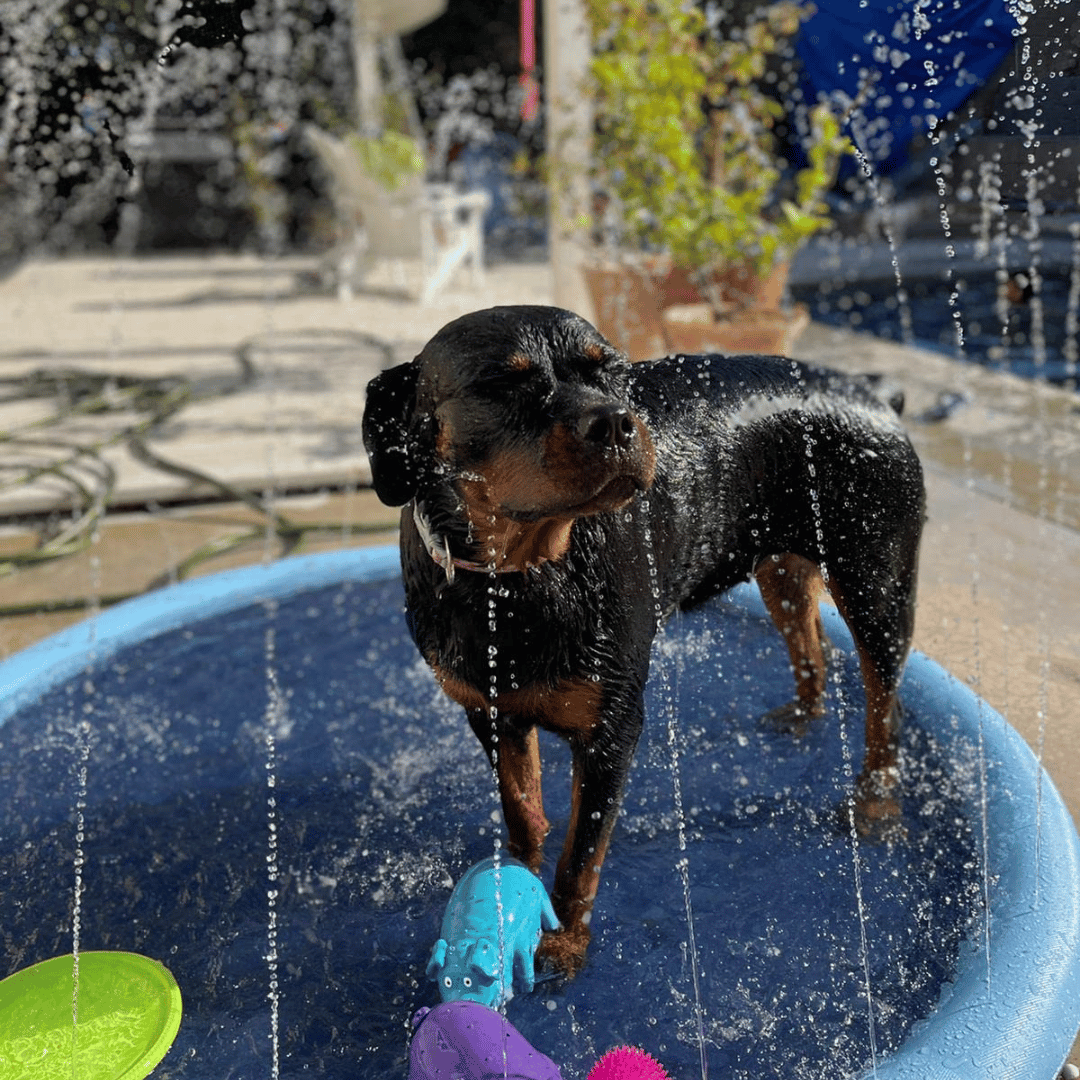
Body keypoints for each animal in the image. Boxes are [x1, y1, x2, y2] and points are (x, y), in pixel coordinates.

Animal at [362, 306, 920, 980]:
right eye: (500, 384)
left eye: (612, 371)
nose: (615, 421)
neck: (520, 579)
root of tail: (874, 392)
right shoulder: (489, 711)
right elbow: (521, 808)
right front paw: (516, 877)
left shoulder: (613, 730)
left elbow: (582, 852)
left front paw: (564, 944)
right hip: (780, 570)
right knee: (810, 647)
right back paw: (802, 716)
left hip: (877, 585)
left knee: (883, 704)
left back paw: (876, 803)